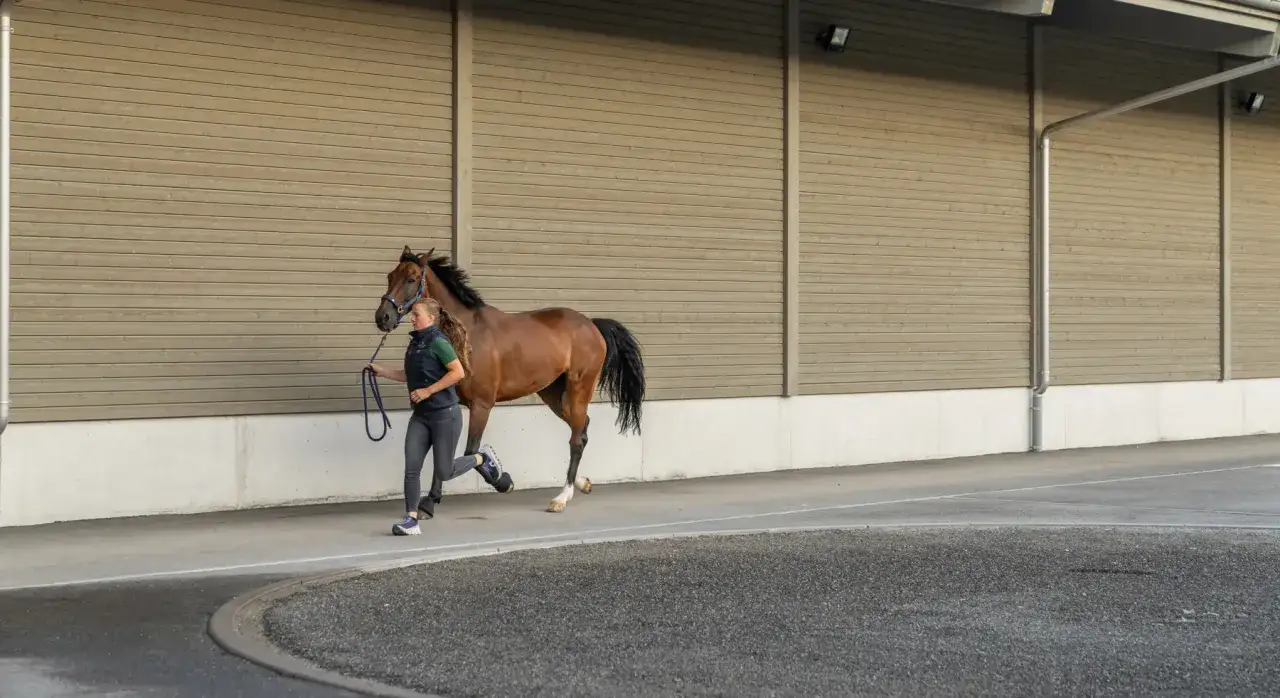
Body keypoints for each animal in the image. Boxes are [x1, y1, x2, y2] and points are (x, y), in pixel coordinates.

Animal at [374, 245, 646, 513]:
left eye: (411, 279)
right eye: (390, 276)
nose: (382, 317)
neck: (465, 334)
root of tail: (592, 325)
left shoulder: (482, 405)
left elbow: (471, 452)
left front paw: (503, 481)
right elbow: (444, 454)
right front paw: (429, 502)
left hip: (579, 389)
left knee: (577, 440)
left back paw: (562, 497)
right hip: (552, 393)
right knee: (582, 429)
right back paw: (582, 483)